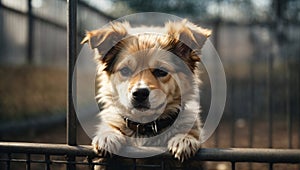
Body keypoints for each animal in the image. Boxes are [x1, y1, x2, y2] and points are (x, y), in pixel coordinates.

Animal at [81, 19, 210, 169]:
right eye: (125, 71)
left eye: (161, 71)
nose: (140, 93)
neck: (145, 127)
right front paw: (108, 135)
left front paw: (185, 138)